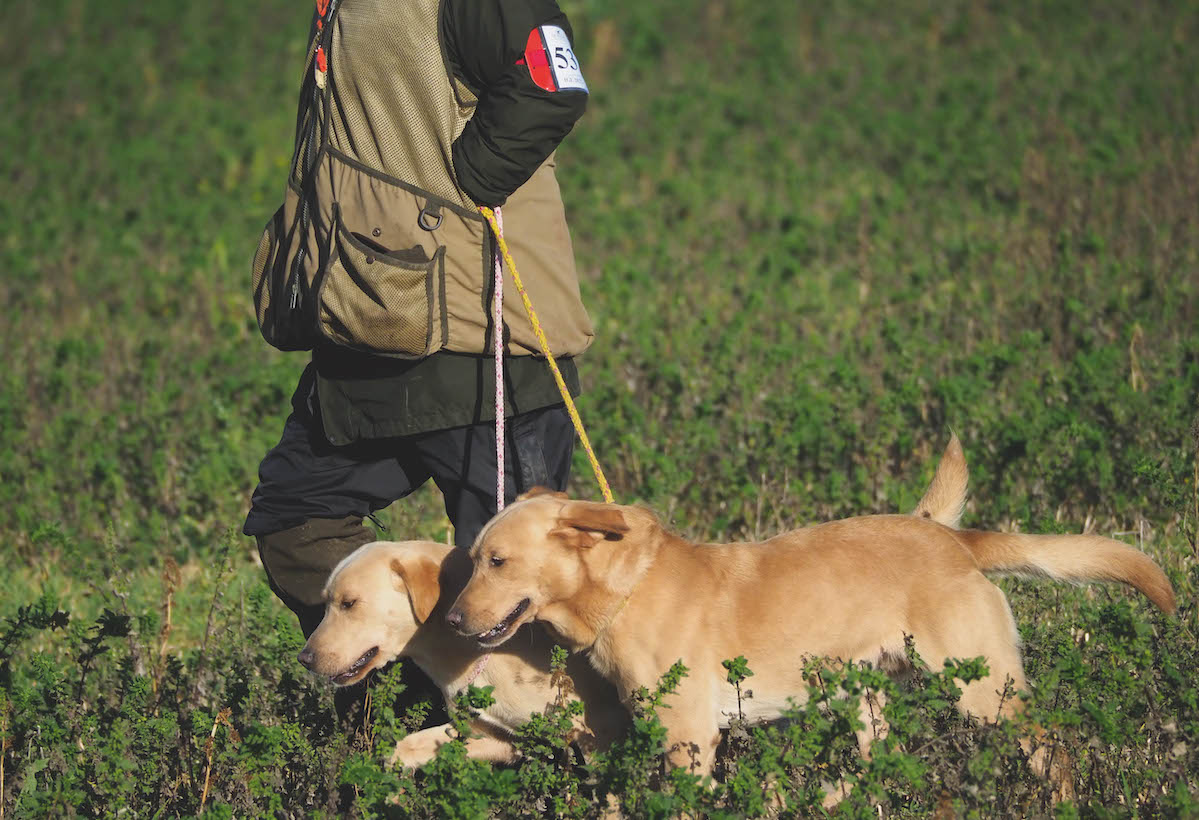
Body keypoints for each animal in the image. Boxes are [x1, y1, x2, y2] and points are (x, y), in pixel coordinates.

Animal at [448, 436, 1170, 786]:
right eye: (473, 557)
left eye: (497, 562)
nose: (451, 622)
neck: (627, 587)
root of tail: (954, 538)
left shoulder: (689, 739)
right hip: (872, 706)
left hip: (984, 689)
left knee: (1055, 749)